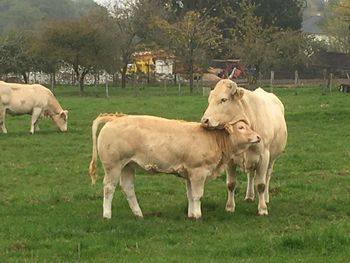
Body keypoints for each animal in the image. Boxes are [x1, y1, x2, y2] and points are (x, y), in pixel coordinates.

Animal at [89, 113, 262, 221]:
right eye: (241, 128)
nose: (258, 137)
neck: (213, 139)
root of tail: (114, 119)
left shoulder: (189, 174)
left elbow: (190, 195)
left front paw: (191, 214)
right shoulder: (198, 172)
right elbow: (198, 195)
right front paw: (198, 215)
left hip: (128, 166)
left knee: (128, 189)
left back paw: (139, 214)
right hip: (113, 166)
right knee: (109, 188)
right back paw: (107, 215)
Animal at [200, 80, 288, 217]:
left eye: (223, 99)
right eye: (210, 100)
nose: (204, 121)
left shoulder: (263, 157)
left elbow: (261, 185)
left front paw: (262, 209)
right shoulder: (230, 160)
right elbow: (231, 184)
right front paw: (230, 207)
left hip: (272, 158)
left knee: (267, 176)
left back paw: (266, 198)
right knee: (251, 175)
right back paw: (249, 196)